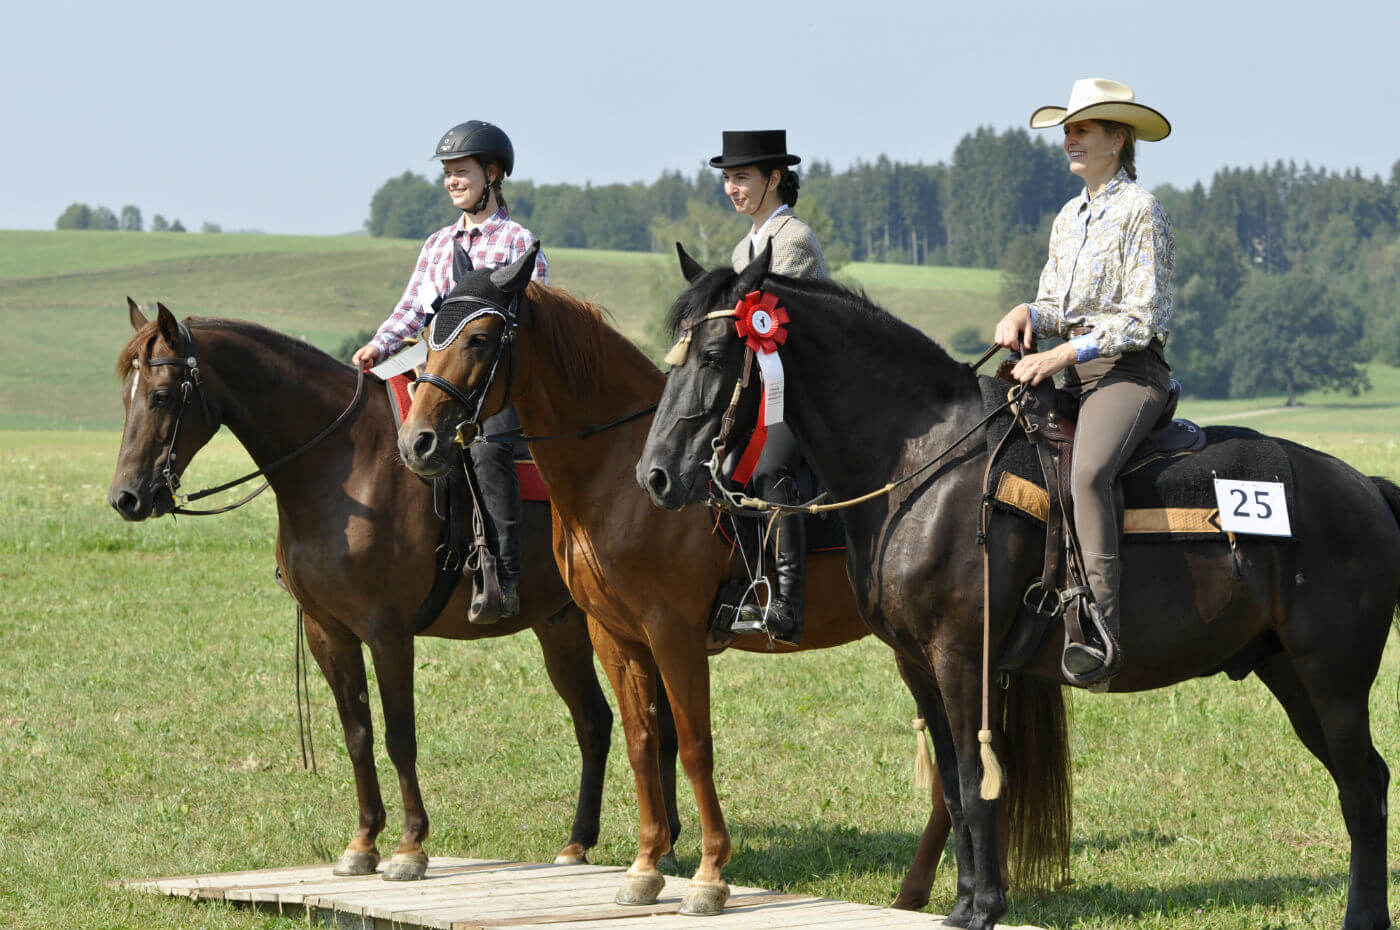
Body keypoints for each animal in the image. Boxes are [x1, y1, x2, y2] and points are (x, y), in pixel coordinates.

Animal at [107, 305, 660, 885]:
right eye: (126, 396)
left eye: (161, 395)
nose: (126, 498)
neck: (340, 467)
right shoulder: (330, 634)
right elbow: (358, 733)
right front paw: (363, 843)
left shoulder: (388, 632)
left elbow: (399, 735)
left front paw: (410, 848)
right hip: (563, 625)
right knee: (597, 721)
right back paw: (582, 843)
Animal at [389, 245, 1064, 913]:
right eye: (430, 331)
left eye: (480, 338)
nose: (418, 442)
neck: (613, 469)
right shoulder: (615, 636)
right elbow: (642, 741)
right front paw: (645, 866)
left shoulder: (674, 632)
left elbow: (693, 745)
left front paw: (710, 876)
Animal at [641, 246, 1400, 930]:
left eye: (716, 355)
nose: (655, 475)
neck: (926, 467)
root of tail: (1365, 488)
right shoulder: (917, 664)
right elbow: (955, 785)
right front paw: (962, 904)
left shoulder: (961, 658)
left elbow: (978, 788)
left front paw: (984, 909)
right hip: (1289, 673)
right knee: (1364, 780)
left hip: (1333, 678)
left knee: (1362, 791)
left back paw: (1362, 917)